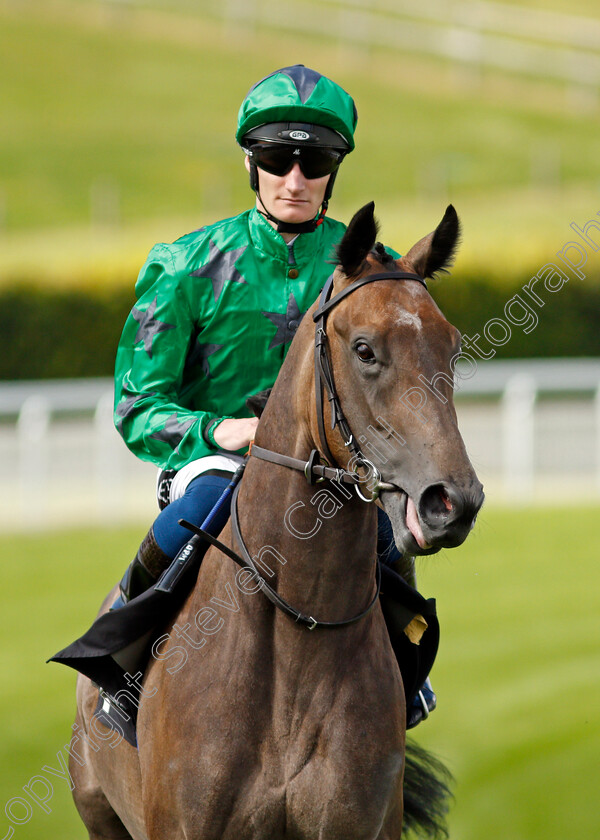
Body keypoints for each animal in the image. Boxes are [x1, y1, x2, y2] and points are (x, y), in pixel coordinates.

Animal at [69, 200, 482, 836]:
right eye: (364, 349)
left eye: (452, 346)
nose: (452, 501)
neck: (298, 638)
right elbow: (141, 399)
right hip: (99, 811)